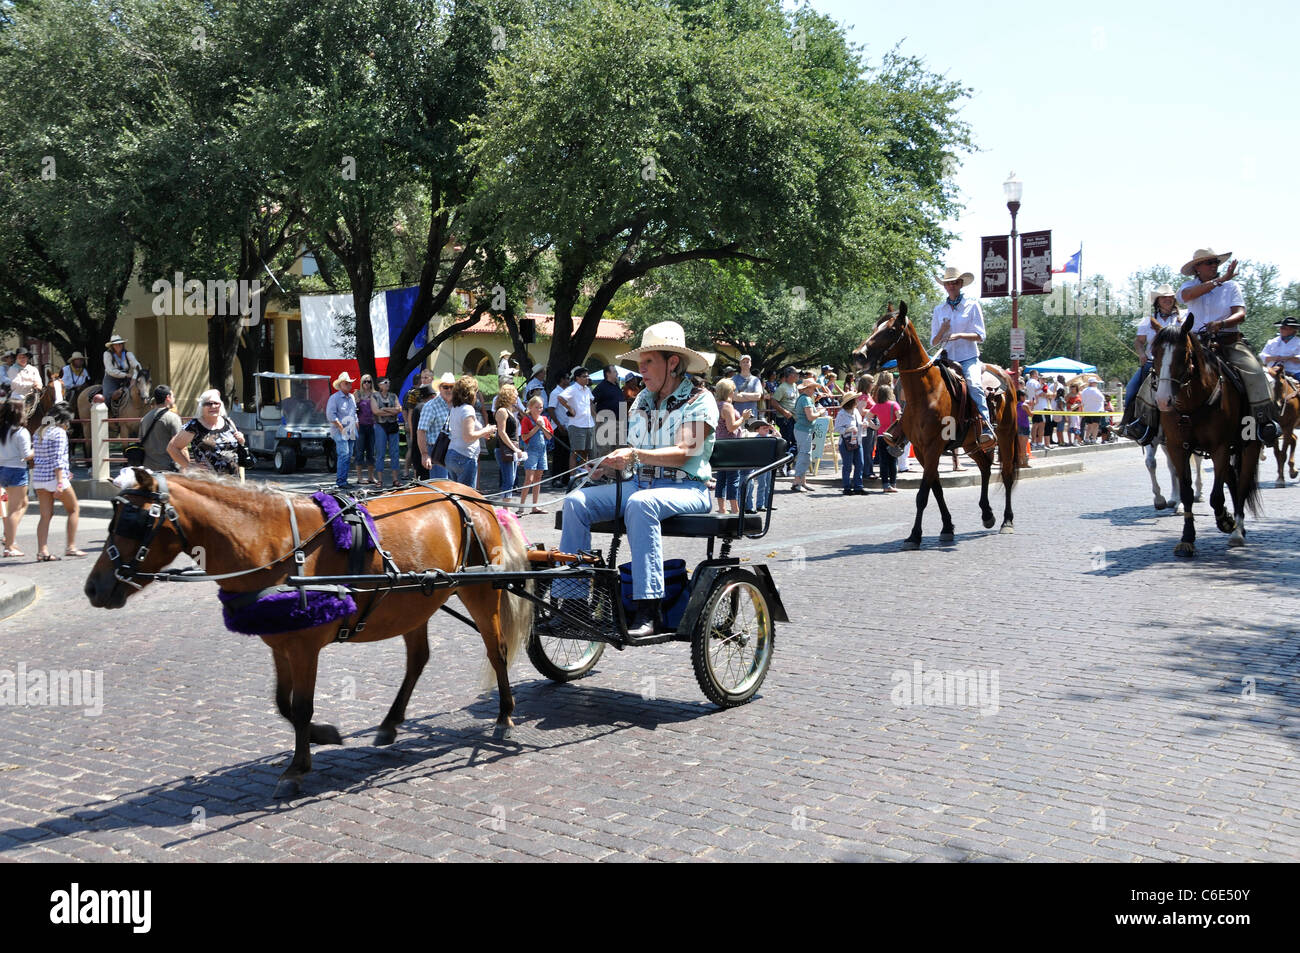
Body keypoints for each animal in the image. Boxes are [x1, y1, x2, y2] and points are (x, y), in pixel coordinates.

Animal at [85, 473, 533, 800]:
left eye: (133, 522)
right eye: (113, 519)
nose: (93, 588)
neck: (274, 544)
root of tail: (475, 496)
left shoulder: (304, 646)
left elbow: (300, 707)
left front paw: (297, 768)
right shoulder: (281, 643)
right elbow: (283, 704)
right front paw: (324, 735)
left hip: (481, 590)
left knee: (497, 650)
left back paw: (504, 716)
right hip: (416, 600)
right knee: (418, 659)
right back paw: (390, 723)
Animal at [857, 301, 1019, 546]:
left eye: (891, 330)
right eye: (876, 327)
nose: (859, 354)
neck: (926, 393)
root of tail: (1004, 373)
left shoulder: (933, 447)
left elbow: (923, 494)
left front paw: (915, 535)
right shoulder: (922, 450)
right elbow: (936, 489)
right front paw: (947, 527)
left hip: (1006, 435)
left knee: (1007, 474)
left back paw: (1006, 521)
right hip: (971, 443)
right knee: (985, 467)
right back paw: (987, 514)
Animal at [1154, 315, 1263, 553]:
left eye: (1184, 354)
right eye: (1154, 352)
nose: (1163, 400)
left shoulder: (1219, 448)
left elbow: (1216, 496)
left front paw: (1226, 521)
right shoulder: (1177, 448)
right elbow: (1186, 493)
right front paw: (1187, 537)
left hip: (1249, 448)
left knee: (1241, 485)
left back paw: (1237, 530)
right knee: (1232, 480)